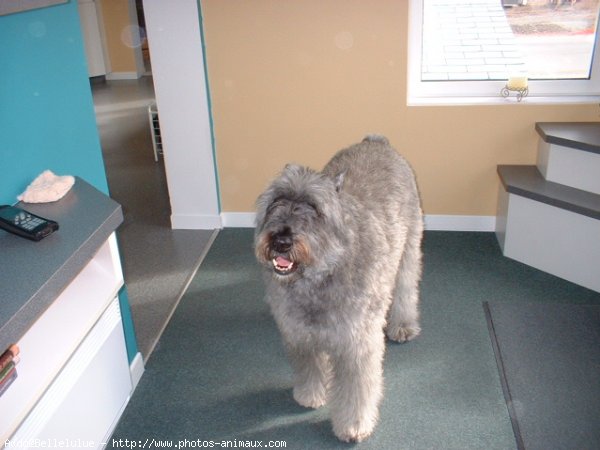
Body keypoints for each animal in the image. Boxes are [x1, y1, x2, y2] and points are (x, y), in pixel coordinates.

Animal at [255, 134, 424, 442]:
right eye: (277, 200)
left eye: (314, 207)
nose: (281, 240)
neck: (320, 276)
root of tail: (376, 140)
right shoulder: (299, 333)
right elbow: (309, 367)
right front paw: (310, 394)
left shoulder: (357, 344)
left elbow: (356, 390)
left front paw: (354, 426)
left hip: (408, 251)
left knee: (406, 289)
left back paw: (403, 324)